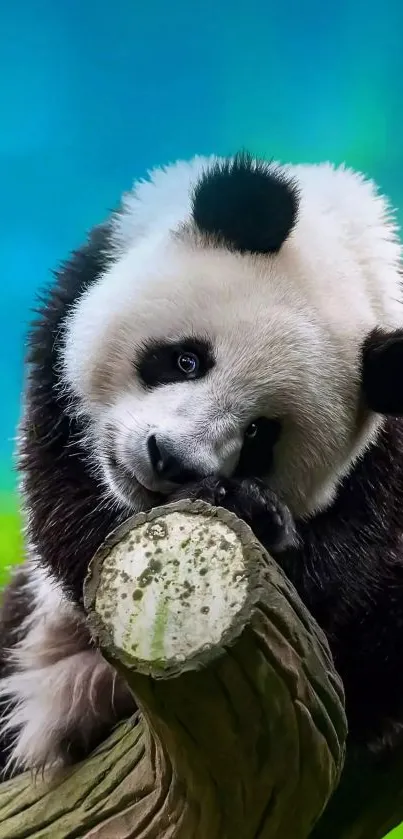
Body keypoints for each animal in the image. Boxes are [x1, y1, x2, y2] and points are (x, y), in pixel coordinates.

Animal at [0, 153, 403, 780]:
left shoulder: (386, 461)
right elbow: (67, 506)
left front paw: (252, 512)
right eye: (186, 359)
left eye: (261, 435)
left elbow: (338, 585)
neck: (346, 248)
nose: (167, 458)